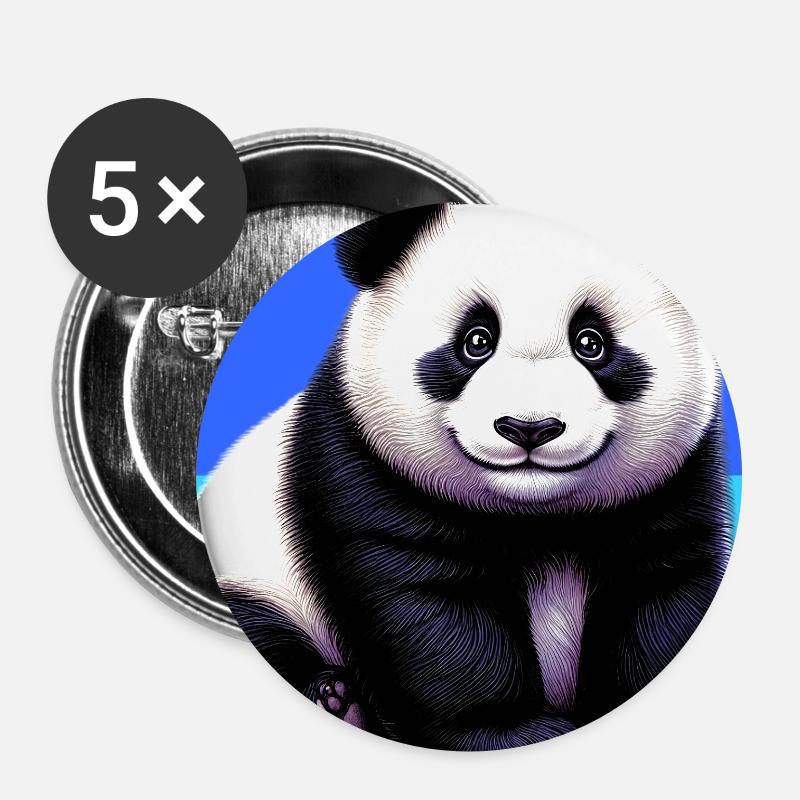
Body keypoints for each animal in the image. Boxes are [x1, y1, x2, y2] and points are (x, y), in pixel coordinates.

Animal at [199, 204, 732, 751]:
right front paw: (511, 729)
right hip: (263, 582)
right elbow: (430, 605)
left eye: (592, 342)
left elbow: (662, 586)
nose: (529, 427)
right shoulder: (360, 471)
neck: (541, 519)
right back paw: (337, 698)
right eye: (476, 341)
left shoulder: (672, 484)